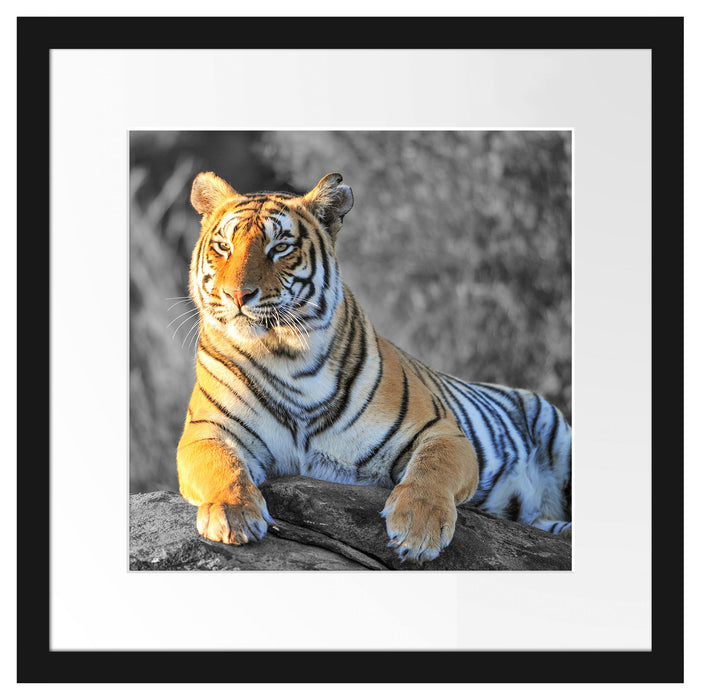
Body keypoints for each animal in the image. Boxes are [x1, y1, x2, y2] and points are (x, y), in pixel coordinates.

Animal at [177, 171, 572, 564]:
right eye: (223, 247)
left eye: (280, 248)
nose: (237, 295)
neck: (286, 357)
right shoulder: (206, 431)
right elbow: (221, 467)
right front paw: (233, 514)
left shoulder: (441, 430)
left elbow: (433, 469)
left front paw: (419, 528)